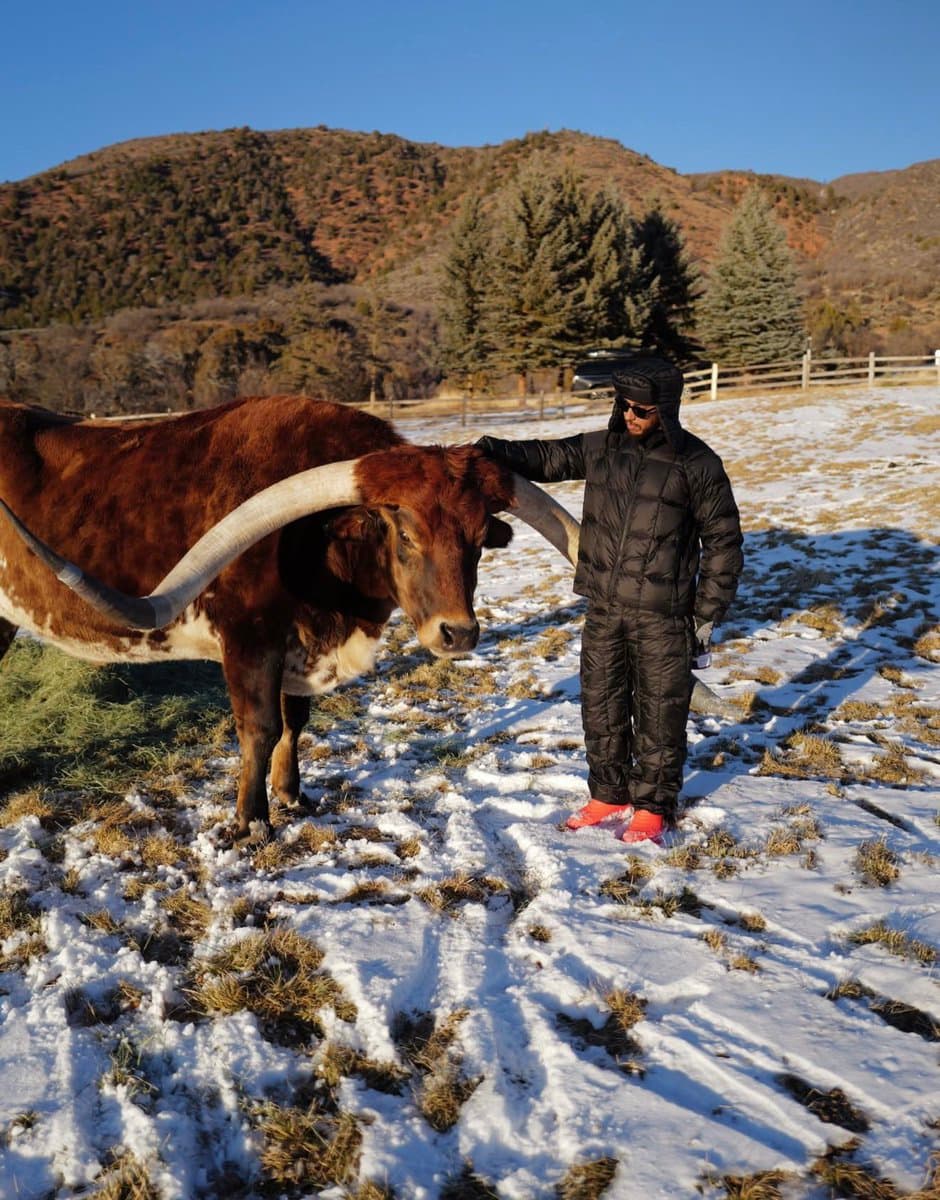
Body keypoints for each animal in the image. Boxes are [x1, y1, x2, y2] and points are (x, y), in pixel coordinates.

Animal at [0, 394, 579, 842]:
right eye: (406, 533)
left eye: (480, 539)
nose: (457, 633)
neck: (317, 543)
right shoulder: (249, 640)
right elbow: (260, 726)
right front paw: (251, 822)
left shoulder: (300, 643)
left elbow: (295, 720)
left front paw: (292, 794)